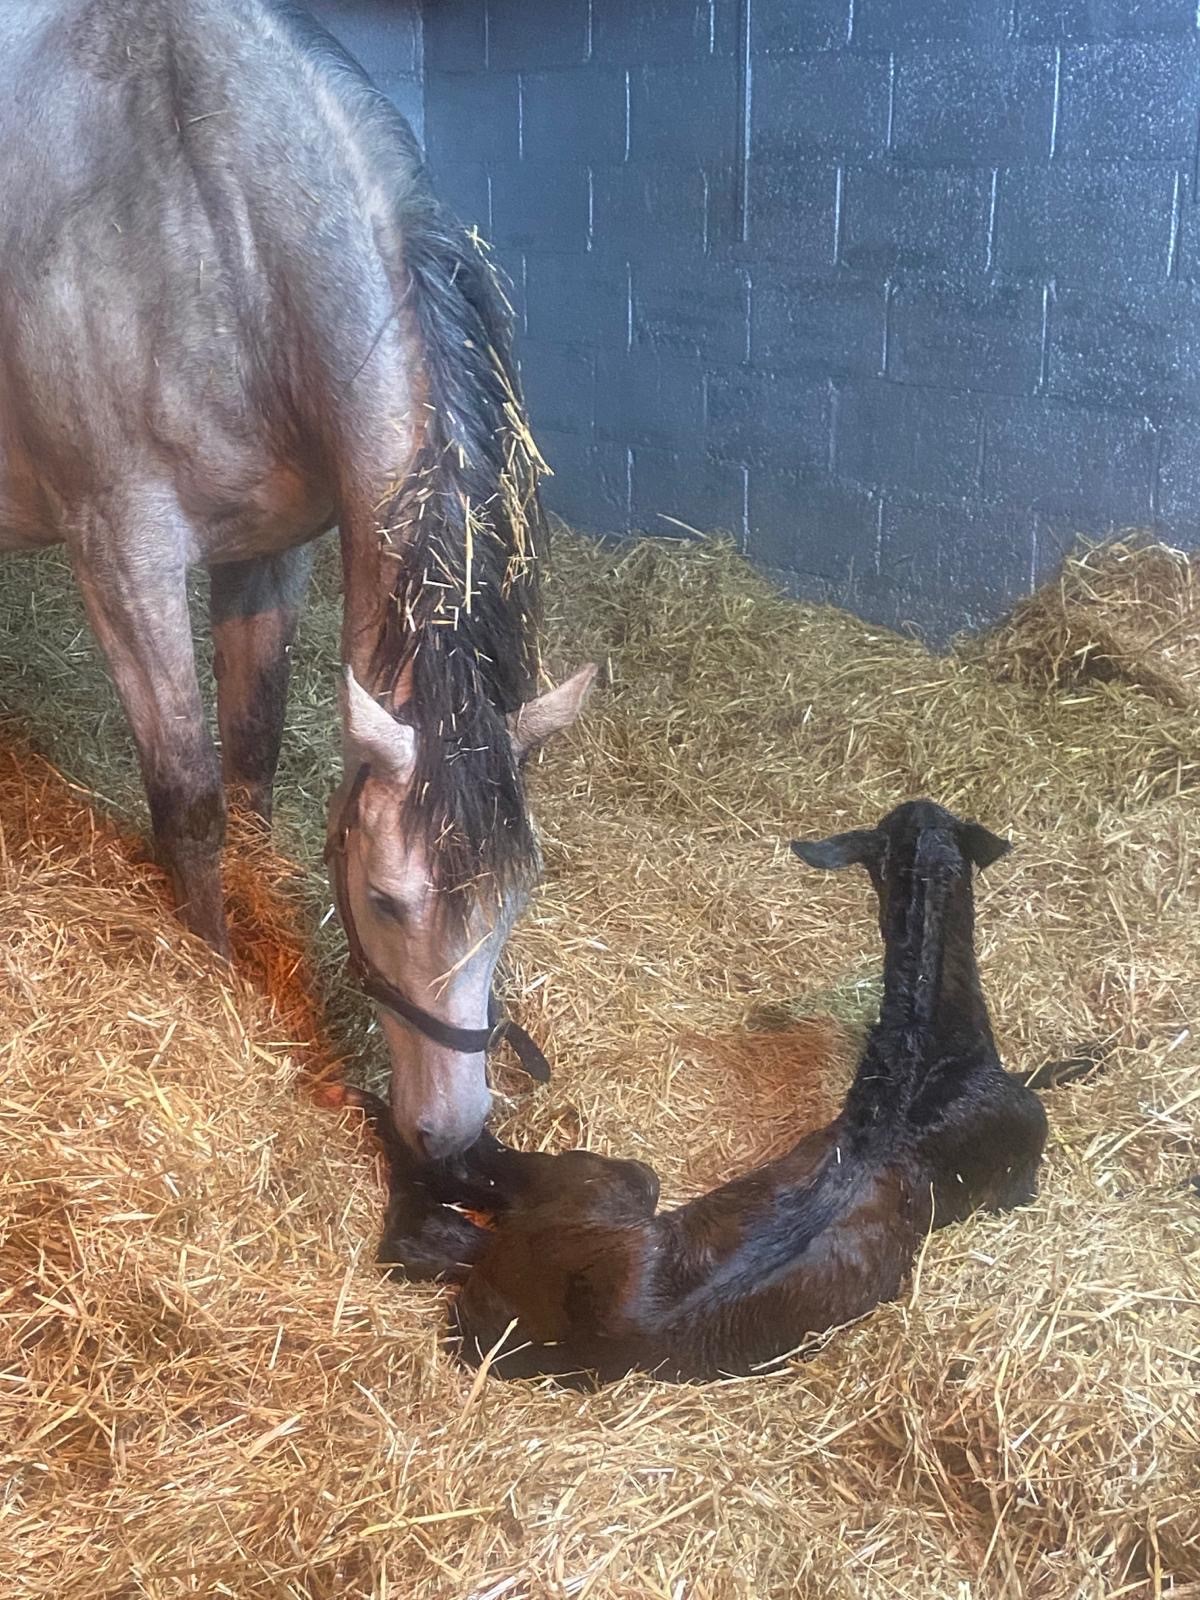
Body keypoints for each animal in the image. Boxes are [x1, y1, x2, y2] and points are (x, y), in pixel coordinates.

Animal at [0, 0, 593, 1161]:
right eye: (388, 898)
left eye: (514, 902)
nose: (452, 1141)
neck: (197, 222)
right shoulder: (122, 555)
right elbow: (188, 797)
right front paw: (212, 979)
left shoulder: (267, 552)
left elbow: (253, 761)